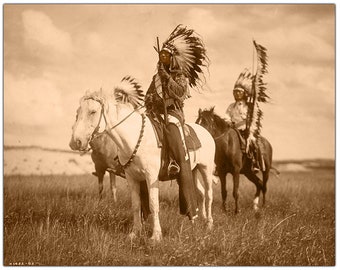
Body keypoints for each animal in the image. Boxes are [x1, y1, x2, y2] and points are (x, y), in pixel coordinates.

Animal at [69, 87, 216, 242]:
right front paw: (135, 232)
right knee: (200, 193)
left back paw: (209, 224)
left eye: (93, 112)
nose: (75, 142)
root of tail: (205, 131)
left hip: (206, 169)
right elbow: (136, 205)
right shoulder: (132, 178)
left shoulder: (151, 177)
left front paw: (156, 236)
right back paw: (197, 220)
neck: (134, 138)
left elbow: (153, 204)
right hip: (193, 170)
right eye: (77, 112)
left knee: (209, 194)